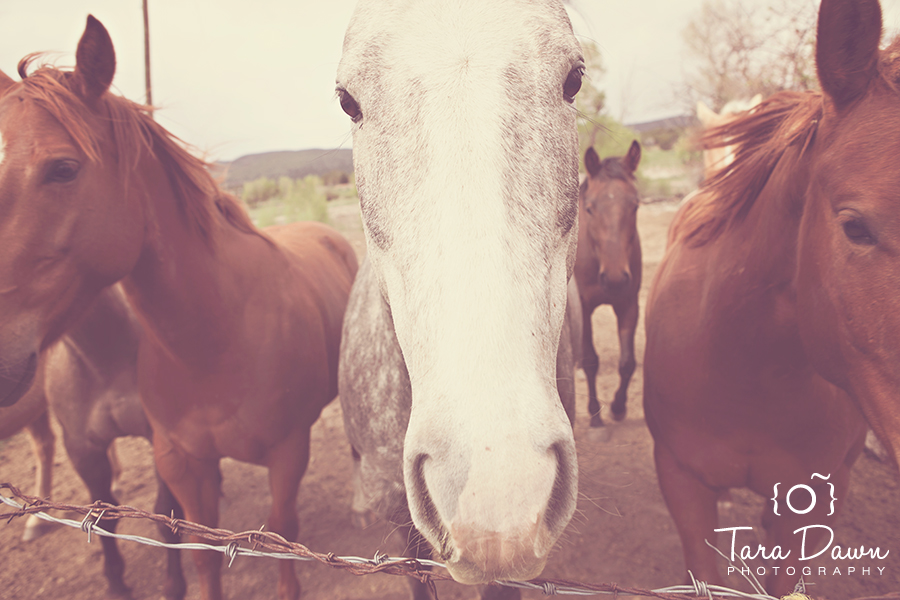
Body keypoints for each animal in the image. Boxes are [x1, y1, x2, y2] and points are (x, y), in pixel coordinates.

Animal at [0, 15, 358, 600]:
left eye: (63, 169)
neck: (218, 341)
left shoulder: (287, 453)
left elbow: (282, 534)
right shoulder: (181, 463)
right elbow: (199, 553)